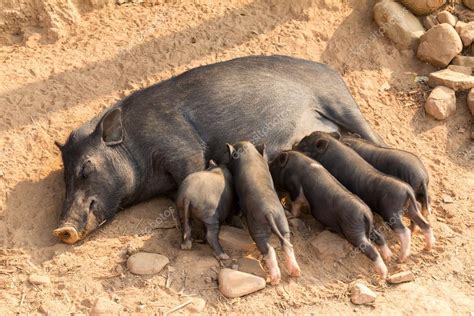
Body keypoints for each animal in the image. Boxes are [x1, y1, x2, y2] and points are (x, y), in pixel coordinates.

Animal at [53, 55, 384, 244]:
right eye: (64, 178)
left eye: (86, 167)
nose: (62, 230)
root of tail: (330, 70)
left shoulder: (181, 147)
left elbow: (191, 174)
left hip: (340, 100)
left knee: (373, 135)